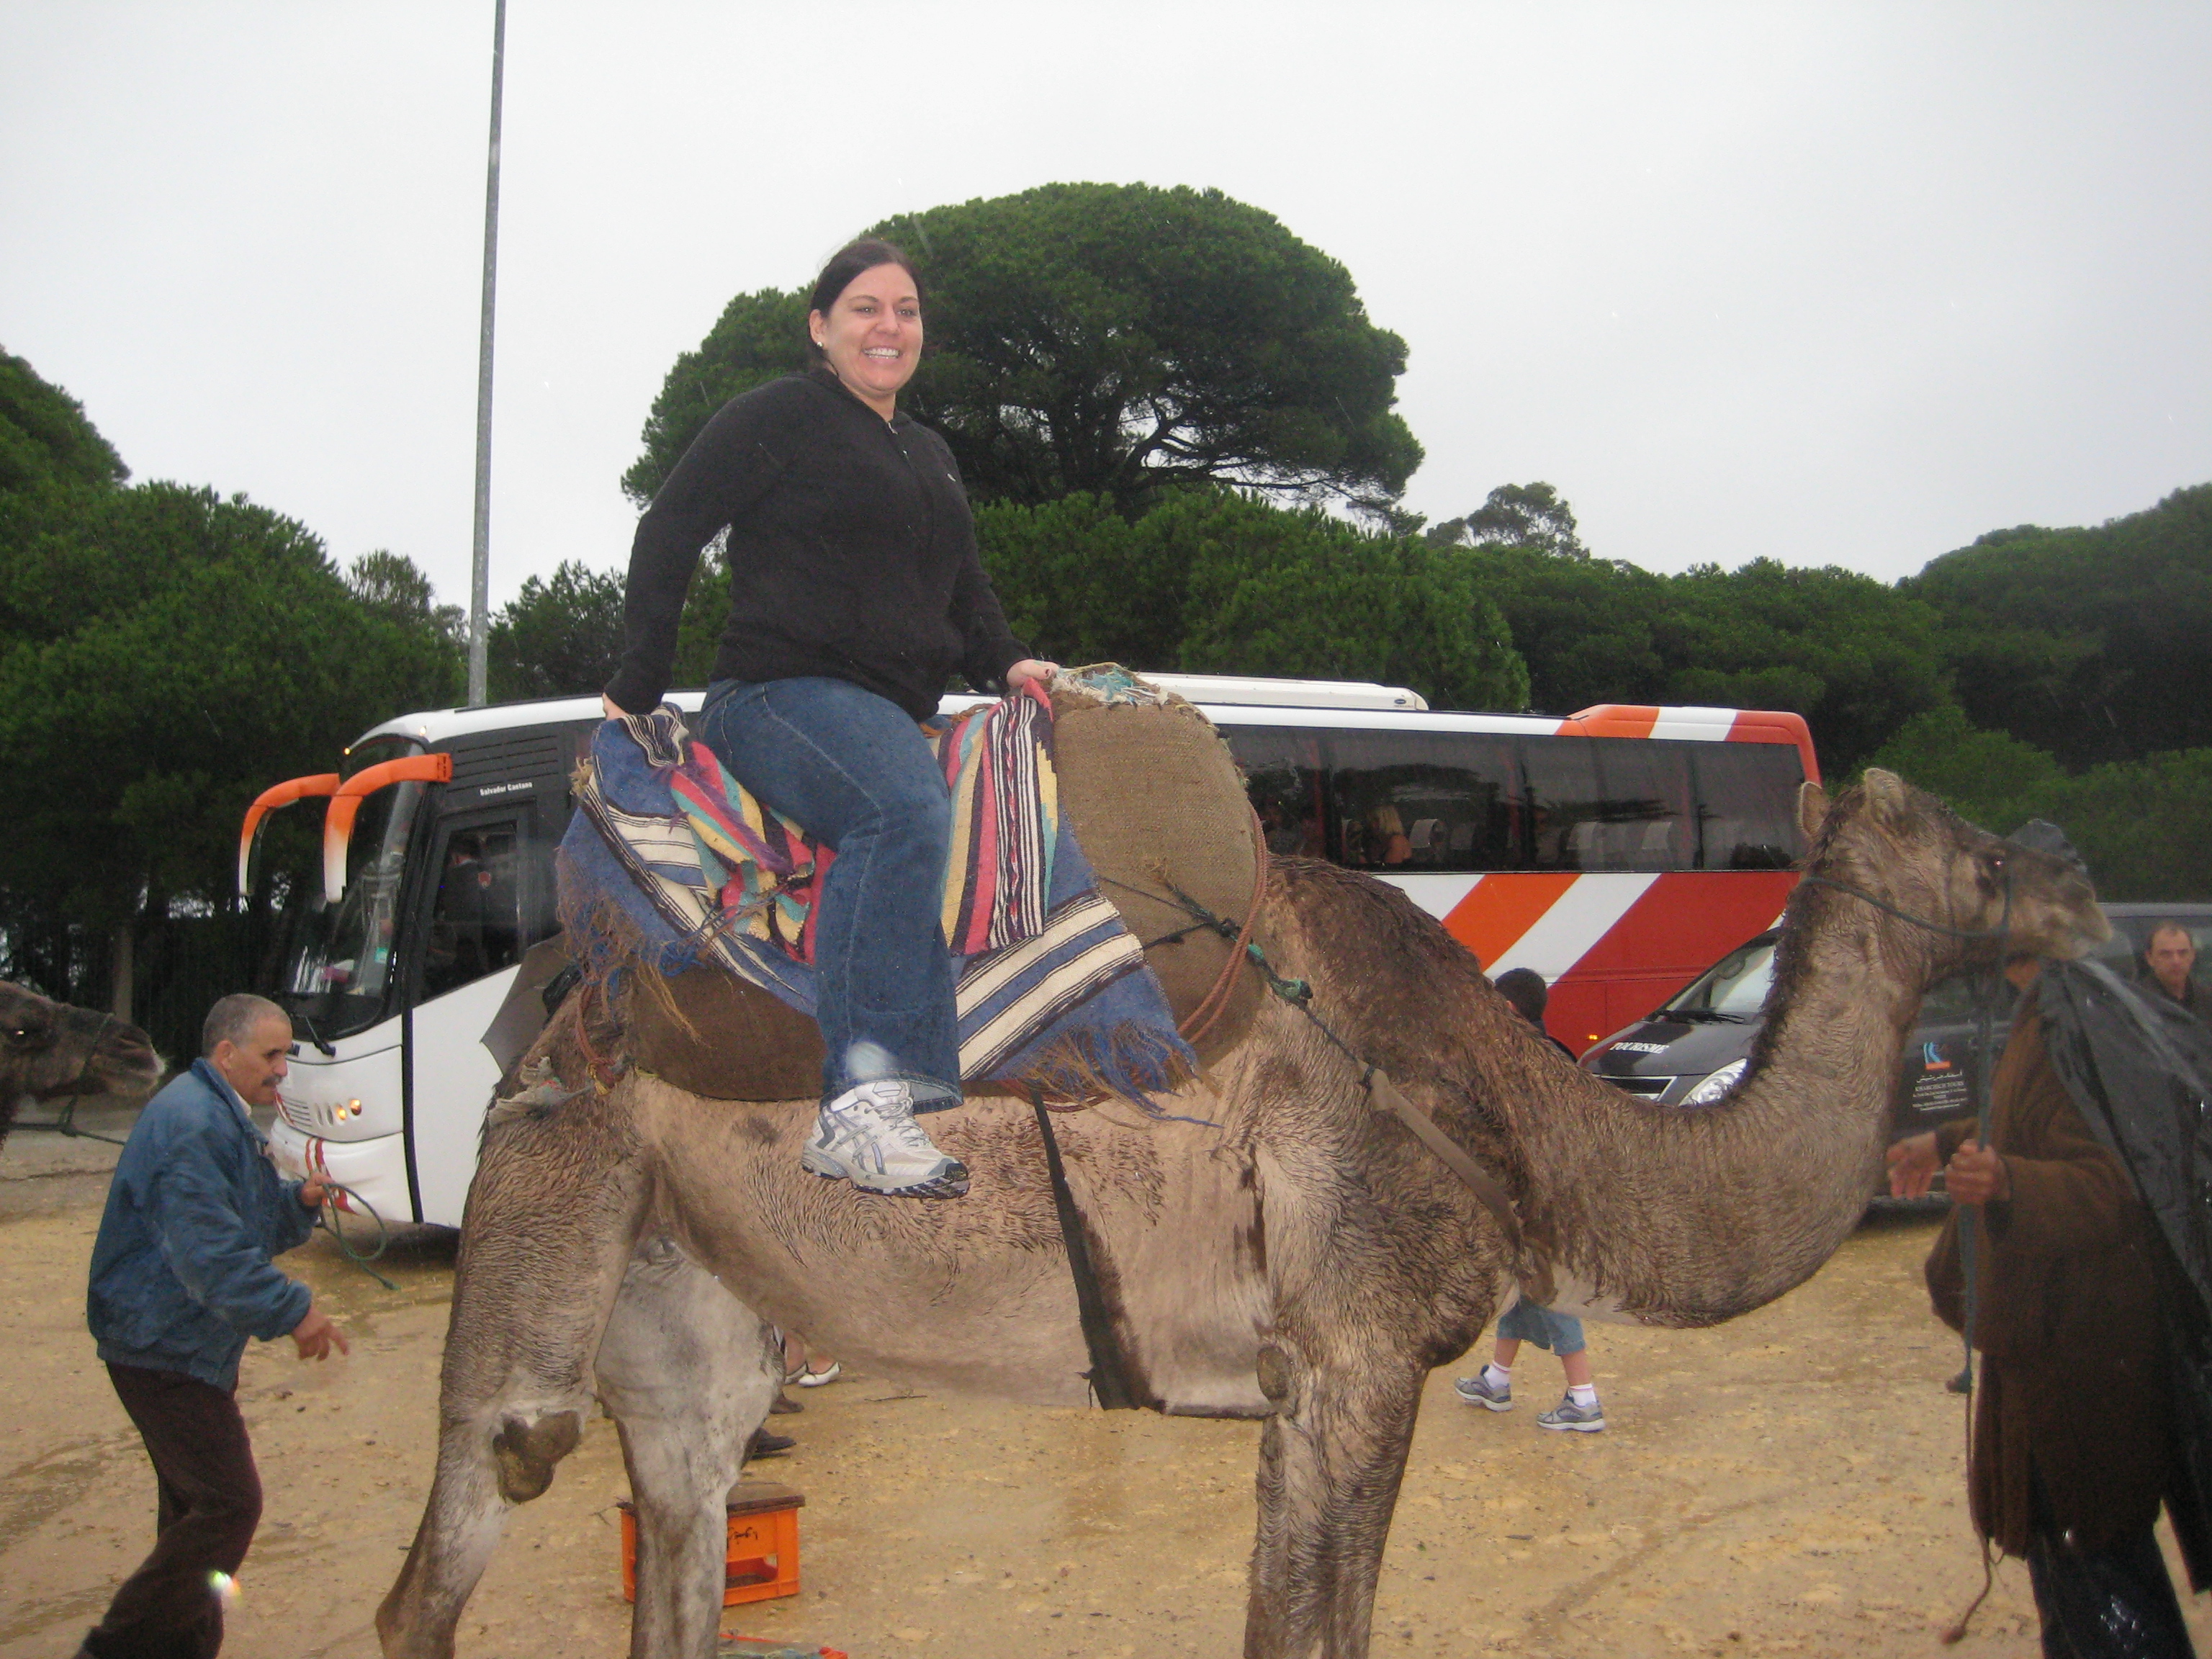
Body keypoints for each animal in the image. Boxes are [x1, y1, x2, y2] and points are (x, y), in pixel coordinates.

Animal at [378, 771, 2106, 1659]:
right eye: (1960, 842)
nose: (2079, 884)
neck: (1528, 1113)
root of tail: (548, 1024)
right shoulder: (1354, 1358)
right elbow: (1309, 1629)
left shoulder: (1311, 1377)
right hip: (555, 1192)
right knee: (456, 1535)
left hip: (690, 1294)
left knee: (680, 1519)